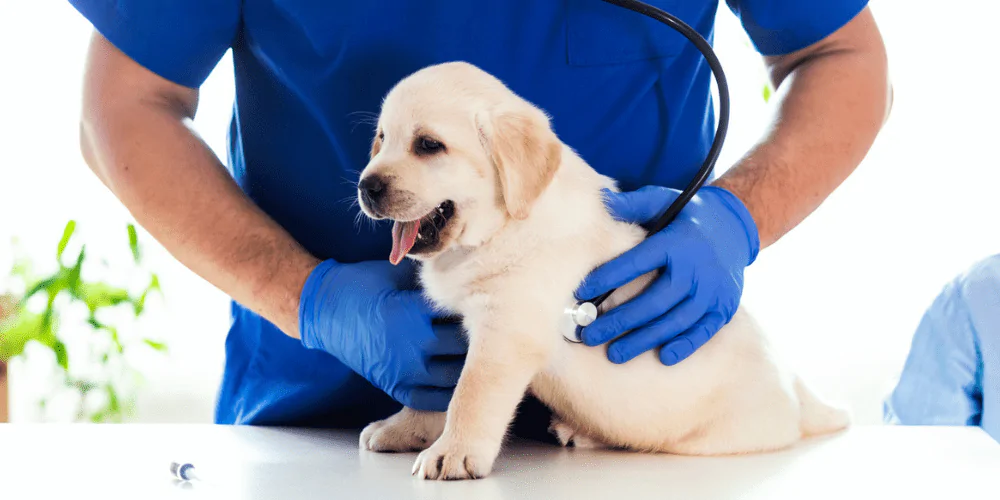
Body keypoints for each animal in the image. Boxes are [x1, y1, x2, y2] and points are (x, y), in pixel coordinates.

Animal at [356, 61, 848, 480]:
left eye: (428, 145)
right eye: (381, 139)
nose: (365, 186)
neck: (503, 226)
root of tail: (798, 390)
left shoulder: (505, 334)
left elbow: (470, 396)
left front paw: (452, 453)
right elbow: (432, 390)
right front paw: (404, 428)